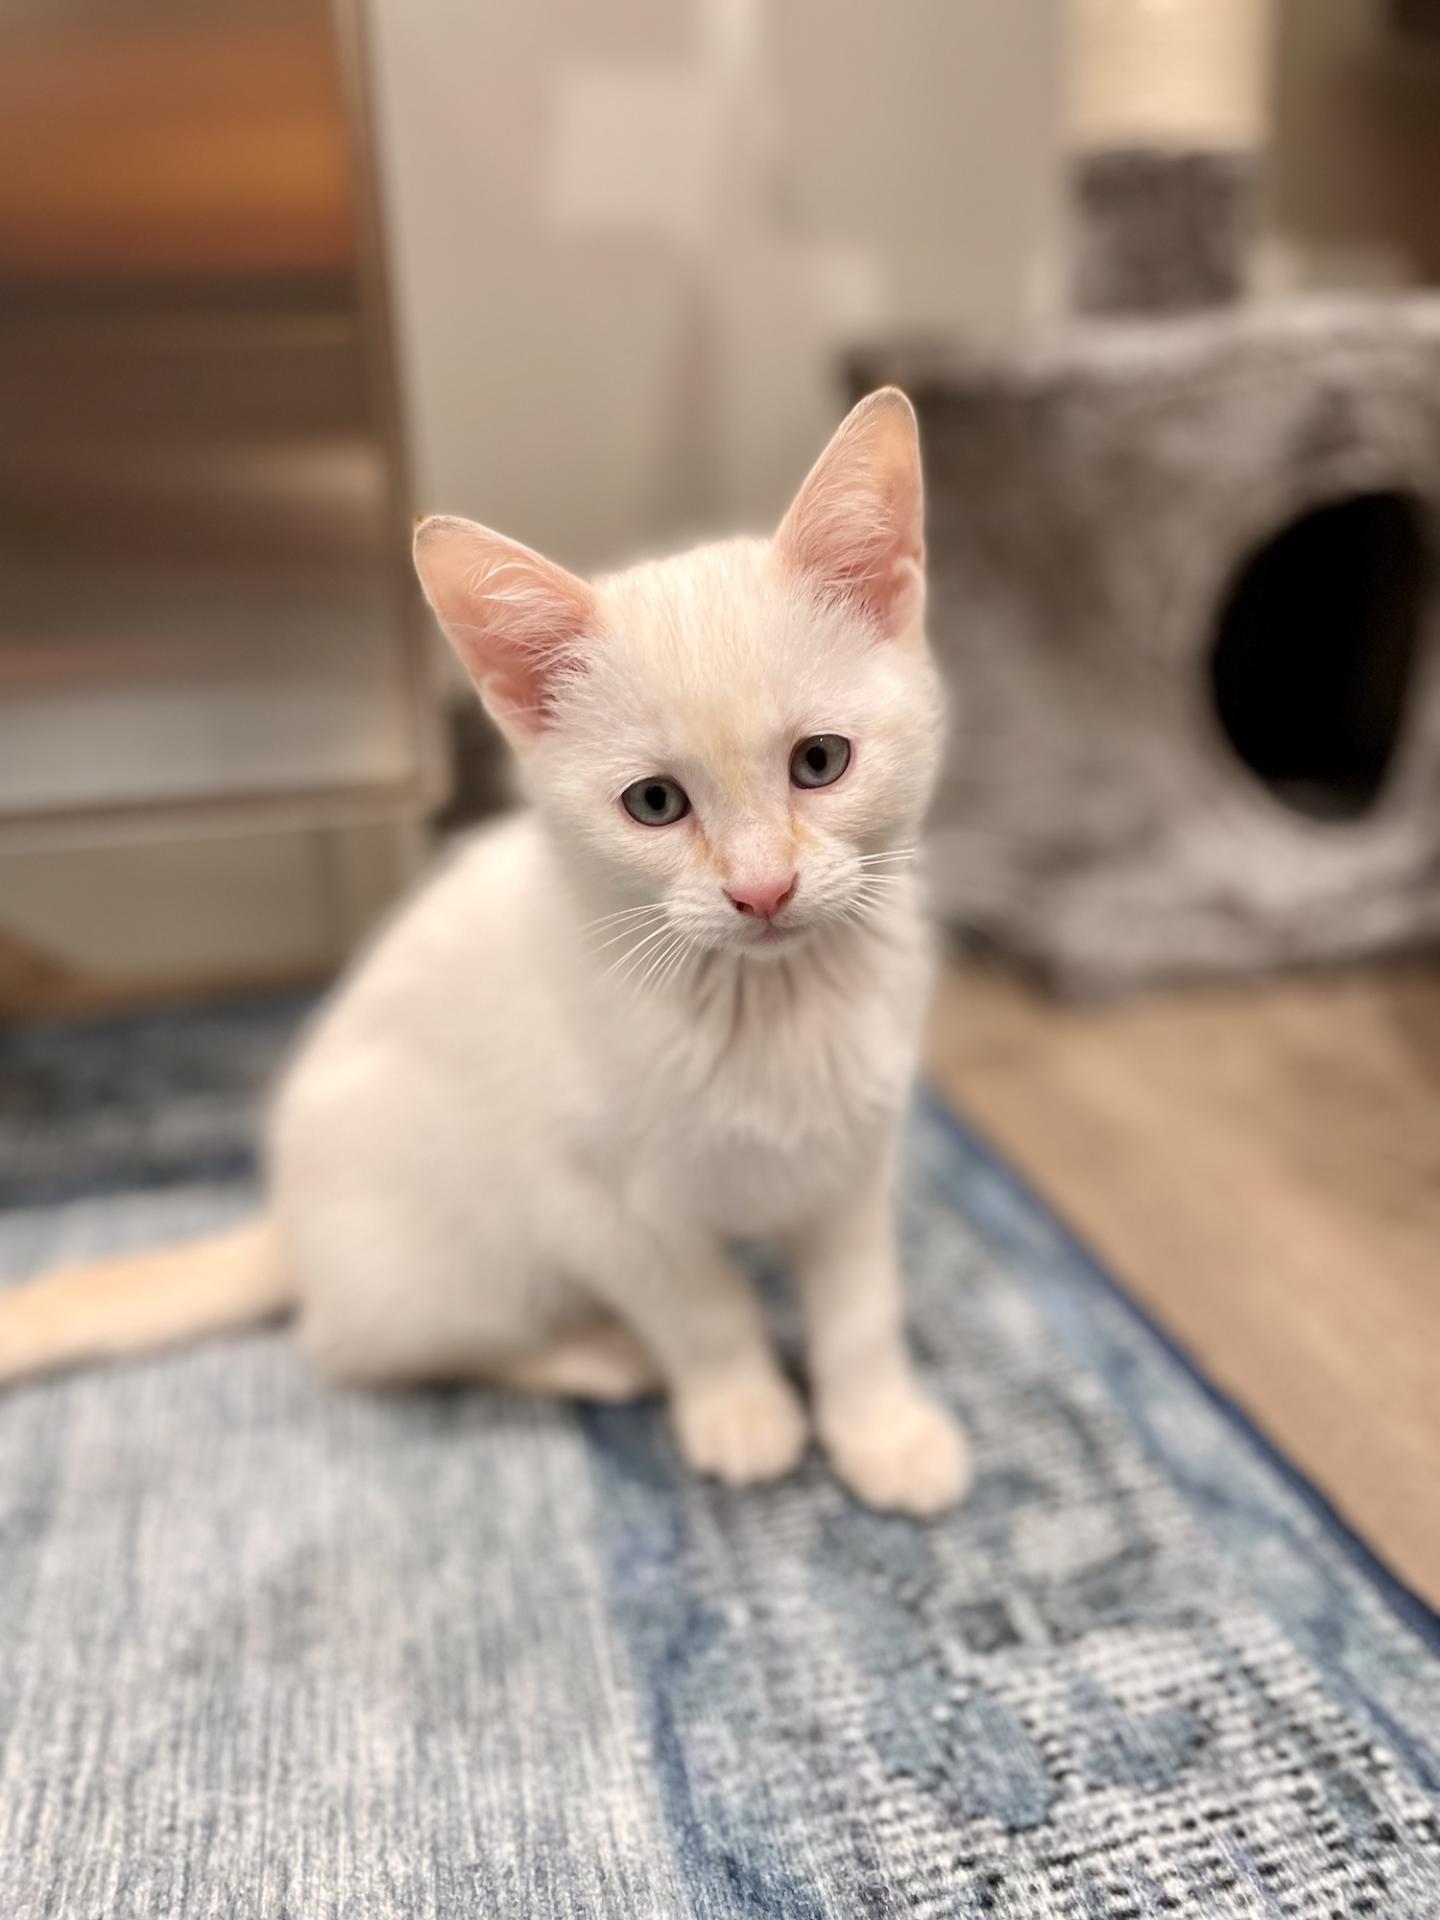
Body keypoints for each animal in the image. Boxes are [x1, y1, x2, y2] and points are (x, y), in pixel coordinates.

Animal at [2, 393, 971, 1512]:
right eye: (655, 803)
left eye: (820, 761)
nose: (761, 889)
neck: (767, 1011)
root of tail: (288, 1225)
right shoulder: (586, 1202)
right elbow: (701, 1305)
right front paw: (743, 1407)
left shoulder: (854, 1163)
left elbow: (860, 1306)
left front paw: (881, 1428)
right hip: (447, 1242)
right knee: (370, 1349)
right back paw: (595, 1353)